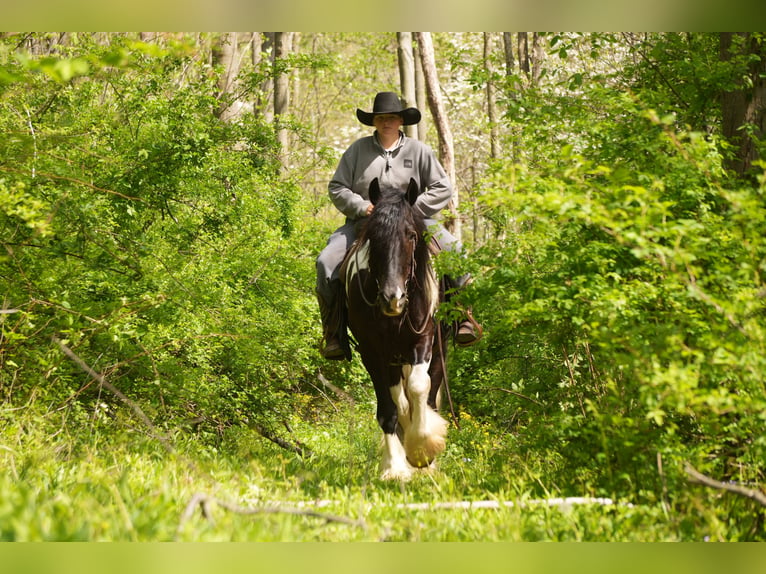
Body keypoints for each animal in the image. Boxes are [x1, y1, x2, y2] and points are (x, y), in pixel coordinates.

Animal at [340, 177, 449, 480]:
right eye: (374, 236)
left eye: (411, 235)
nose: (393, 298)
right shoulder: (372, 352)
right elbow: (389, 409)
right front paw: (395, 467)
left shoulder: (423, 340)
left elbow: (419, 387)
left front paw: (422, 450)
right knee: (400, 402)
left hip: (439, 349)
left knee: (428, 395)